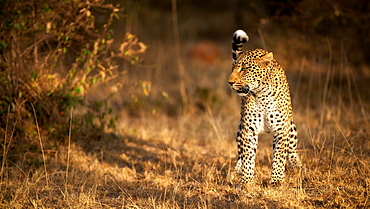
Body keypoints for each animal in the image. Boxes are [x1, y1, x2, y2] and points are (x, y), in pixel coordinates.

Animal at [230, 29, 302, 185]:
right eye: (233, 68)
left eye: (244, 69)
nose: (230, 82)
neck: (261, 94)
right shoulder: (248, 130)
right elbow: (248, 156)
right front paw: (246, 181)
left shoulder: (281, 129)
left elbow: (279, 157)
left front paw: (276, 181)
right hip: (240, 129)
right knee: (240, 154)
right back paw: (236, 170)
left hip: (291, 126)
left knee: (292, 150)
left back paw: (297, 166)